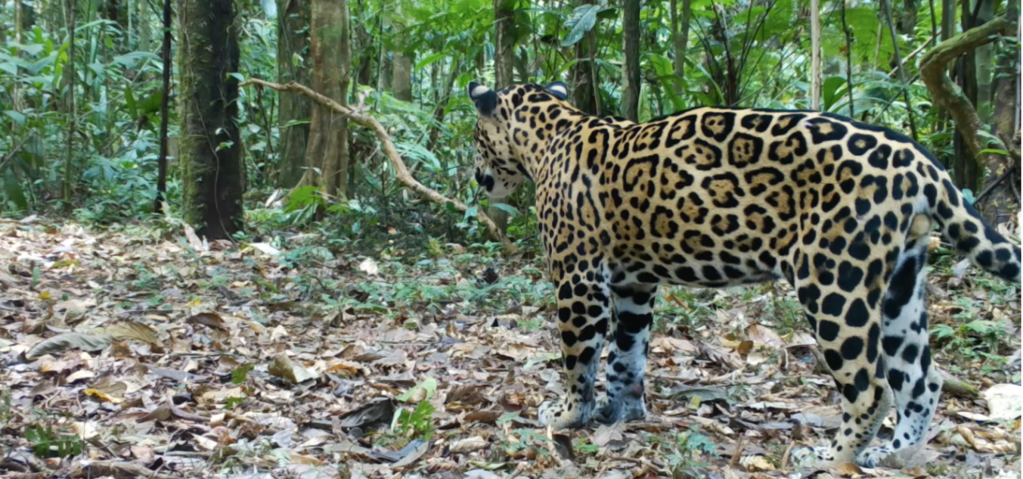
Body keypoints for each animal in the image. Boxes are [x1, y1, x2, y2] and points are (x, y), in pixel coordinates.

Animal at [466, 81, 1022, 467]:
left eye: (475, 138)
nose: (476, 177)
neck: (548, 132)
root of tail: (922, 163)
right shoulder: (633, 283)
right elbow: (627, 355)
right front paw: (619, 413)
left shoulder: (578, 279)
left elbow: (579, 359)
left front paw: (566, 414)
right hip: (900, 286)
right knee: (921, 380)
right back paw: (890, 454)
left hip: (834, 281)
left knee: (871, 387)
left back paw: (829, 458)